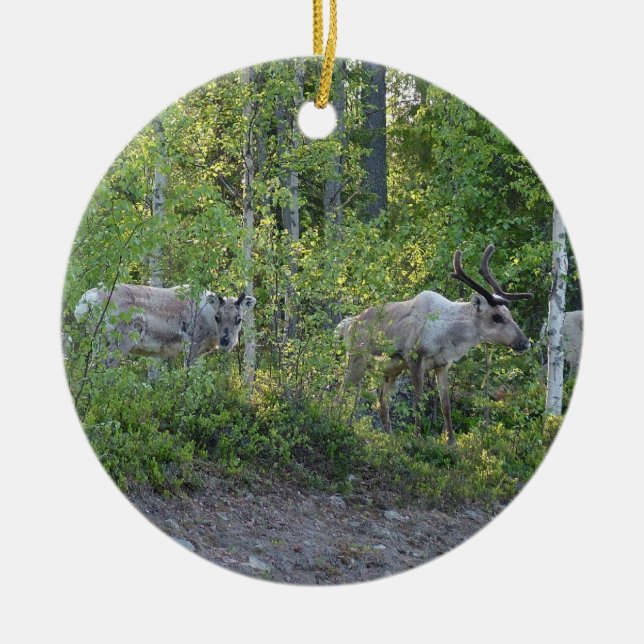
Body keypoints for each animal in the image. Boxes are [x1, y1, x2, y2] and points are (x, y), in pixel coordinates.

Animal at [74, 284, 257, 367]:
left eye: (239, 319)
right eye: (218, 317)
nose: (226, 341)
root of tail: (86, 301)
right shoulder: (192, 345)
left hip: (97, 341)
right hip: (121, 340)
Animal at [337, 245, 533, 444]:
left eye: (509, 313)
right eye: (496, 317)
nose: (525, 343)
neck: (447, 335)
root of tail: (347, 325)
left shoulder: (442, 364)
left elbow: (445, 405)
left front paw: (451, 441)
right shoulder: (415, 358)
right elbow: (418, 402)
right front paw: (417, 438)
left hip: (390, 370)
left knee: (382, 401)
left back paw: (388, 437)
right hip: (356, 359)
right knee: (343, 392)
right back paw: (338, 422)